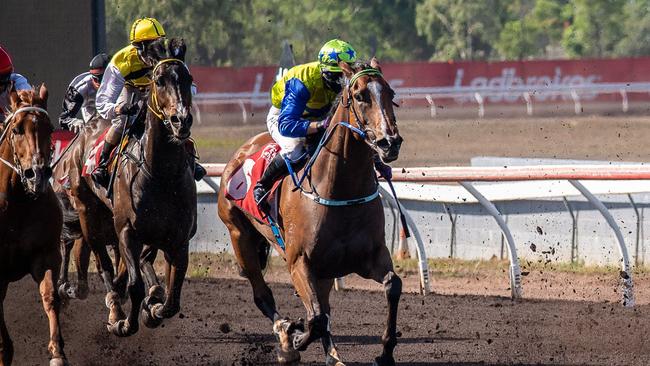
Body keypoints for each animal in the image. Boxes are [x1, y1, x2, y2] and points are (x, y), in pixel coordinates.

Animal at [218, 58, 400, 364]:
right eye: (360, 96)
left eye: (391, 93)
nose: (390, 142)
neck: (341, 191)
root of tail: (241, 153)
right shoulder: (299, 262)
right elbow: (314, 318)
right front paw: (293, 338)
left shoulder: (370, 256)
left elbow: (392, 285)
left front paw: (385, 351)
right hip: (239, 235)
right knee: (263, 294)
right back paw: (285, 335)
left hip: (324, 269)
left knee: (322, 307)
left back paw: (332, 355)